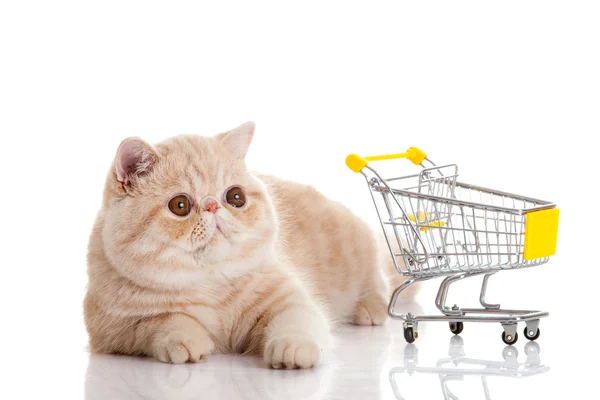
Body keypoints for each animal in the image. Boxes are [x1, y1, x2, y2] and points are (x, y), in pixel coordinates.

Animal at [84, 122, 412, 368]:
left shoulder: (289, 297)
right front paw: (185, 340)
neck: (210, 285)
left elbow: (296, 320)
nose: (213, 206)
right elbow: (163, 321)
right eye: (180, 205)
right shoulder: (112, 326)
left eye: (235, 197)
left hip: (359, 248)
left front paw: (293, 349)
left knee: (379, 279)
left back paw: (370, 309)